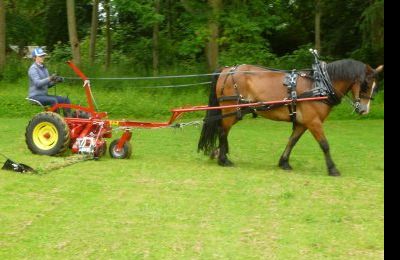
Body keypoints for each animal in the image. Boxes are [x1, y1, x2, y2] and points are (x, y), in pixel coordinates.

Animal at [198, 55, 382, 176]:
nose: (364, 110)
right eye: (365, 84)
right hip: (230, 111)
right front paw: (332, 169)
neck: (319, 84)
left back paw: (220, 154)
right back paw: (223, 159)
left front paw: (284, 162)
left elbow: (292, 141)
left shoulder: (302, 122)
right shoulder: (314, 122)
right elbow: (324, 144)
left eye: (375, 87)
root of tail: (227, 70)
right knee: (223, 131)